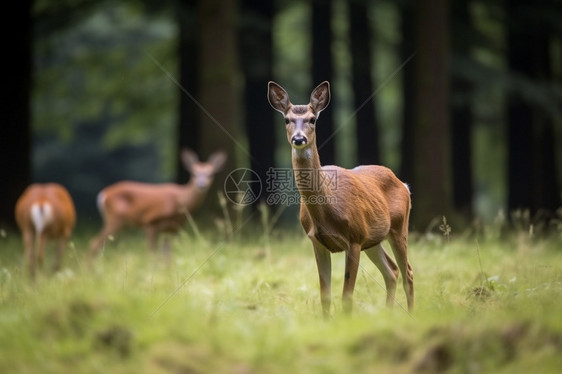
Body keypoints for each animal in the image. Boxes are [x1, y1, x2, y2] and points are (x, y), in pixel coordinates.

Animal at [89, 149, 225, 258]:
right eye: (194, 173)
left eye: (211, 174)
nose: (201, 185)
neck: (180, 200)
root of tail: (104, 194)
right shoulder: (150, 222)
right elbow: (151, 252)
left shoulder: (172, 229)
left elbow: (167, 255)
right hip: (114, 219)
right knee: (94, 243)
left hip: (120, 223)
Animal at [264, 82, 414, 316]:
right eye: (286, 120)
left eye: (312, 119)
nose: (299, 139)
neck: (327, 211)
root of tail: (403, 184)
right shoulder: (317, 242)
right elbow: (325, 296)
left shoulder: (354, 239)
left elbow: (347, 297)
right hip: (373, 238)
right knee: (392, 270)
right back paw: (388, 313)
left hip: (398, 227)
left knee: (408, 272)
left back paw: (410, 314)